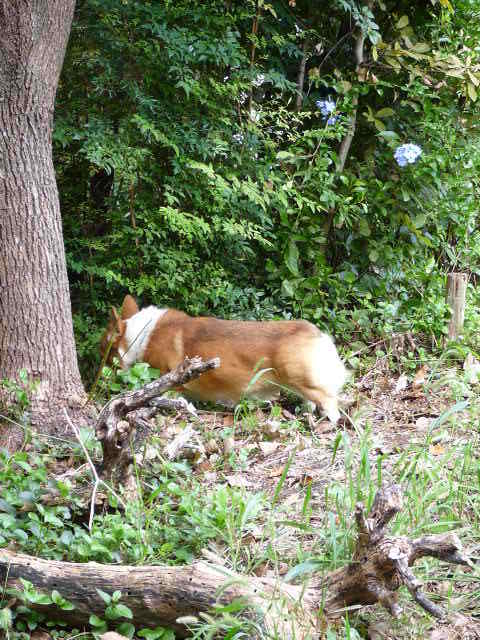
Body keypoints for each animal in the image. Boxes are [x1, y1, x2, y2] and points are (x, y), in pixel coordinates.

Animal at [100, 295, 346, 423]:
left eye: (103, 351)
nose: (99, 380)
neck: (139, 336)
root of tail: (318, 335)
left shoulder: (168, 381)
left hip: (301, 380)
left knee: (330, 403)